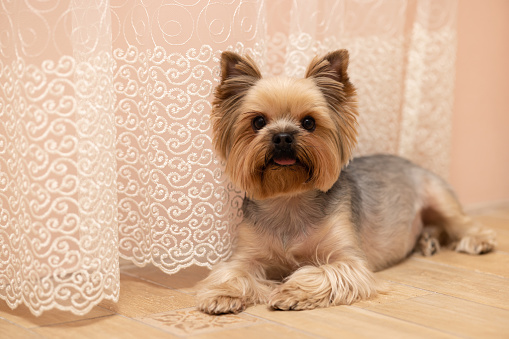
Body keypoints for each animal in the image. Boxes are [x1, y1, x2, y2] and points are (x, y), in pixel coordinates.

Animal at [195, 49, 496, 314]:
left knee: (461, 223)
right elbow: (231, 272)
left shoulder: (351, 262)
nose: (282, 136)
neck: (289, 199)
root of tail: (412, 163)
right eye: (258, 121)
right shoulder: (247, 255)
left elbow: (324, 271)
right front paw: (223, 295)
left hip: (437, 196)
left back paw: (475, 241)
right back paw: (426, 242)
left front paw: (291, 291)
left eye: (309, 122)